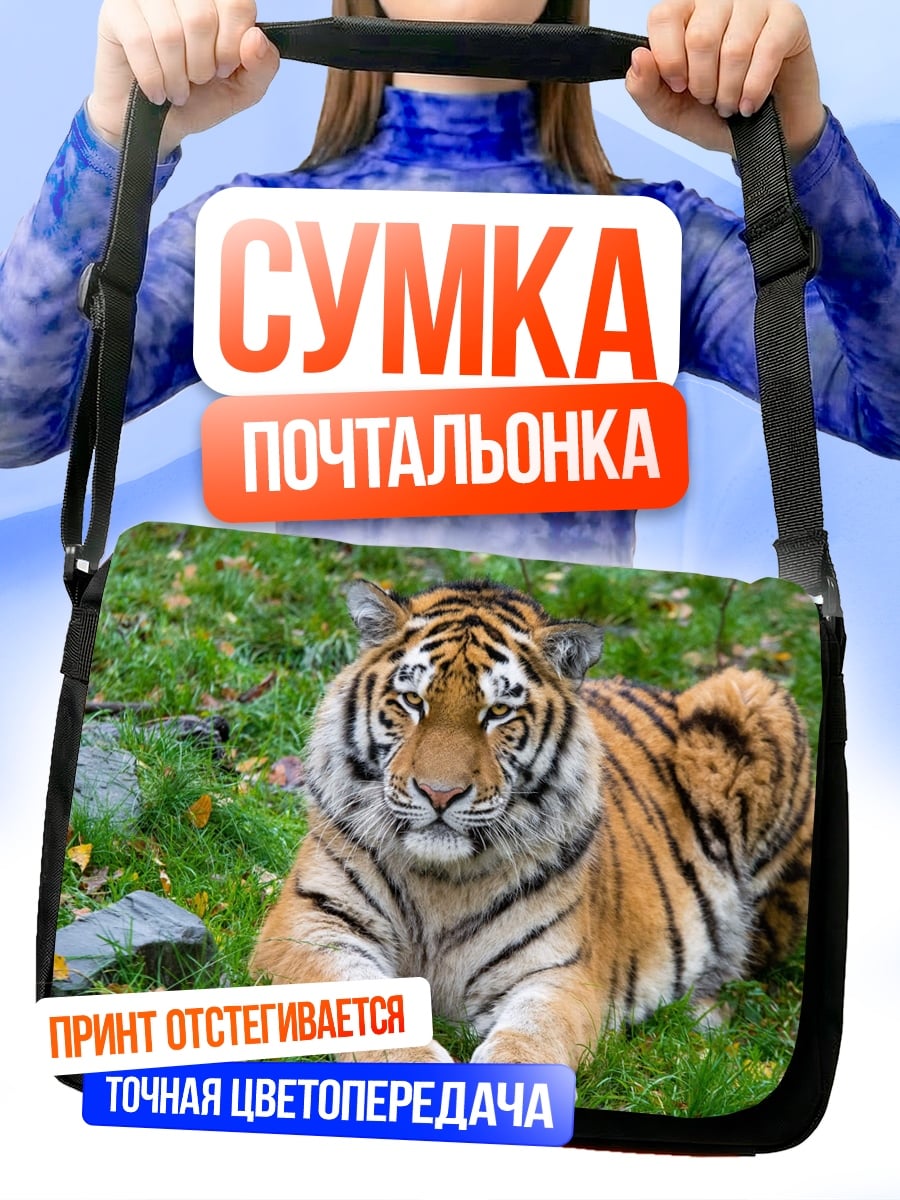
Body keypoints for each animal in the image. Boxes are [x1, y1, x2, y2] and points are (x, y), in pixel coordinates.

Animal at [250, 578, 813, 1069]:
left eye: (499, 712)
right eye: (413, 701)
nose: (439, 793)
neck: (439, 883)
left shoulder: (559, 973)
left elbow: (532, 1040)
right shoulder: (308, 926)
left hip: (751, 693)